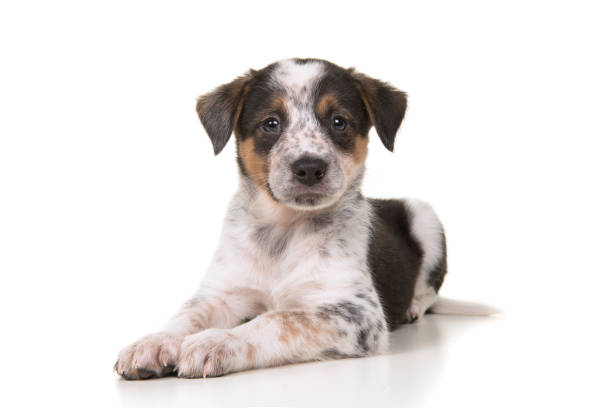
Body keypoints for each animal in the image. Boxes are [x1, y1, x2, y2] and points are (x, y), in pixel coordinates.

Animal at [116, 57, 450, 380]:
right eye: (271, 123)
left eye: (339, 122)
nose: (309, 168)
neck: (283, 230)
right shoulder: (224, 293)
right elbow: (187, 314)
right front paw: (152, 342)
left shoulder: (357, 312)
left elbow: (277, 319)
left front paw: (217, 341)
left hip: (426, 217)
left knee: (429, 291)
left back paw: (412, 307)